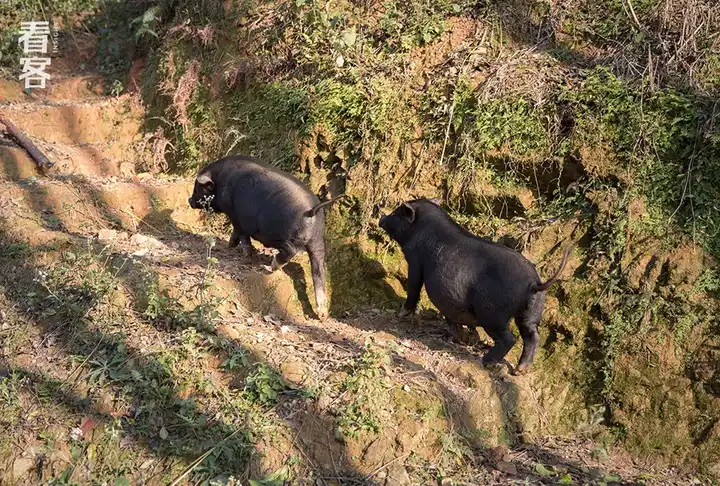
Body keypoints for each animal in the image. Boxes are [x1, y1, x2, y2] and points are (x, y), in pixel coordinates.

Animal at [188, 156, 346, 320]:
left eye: (197, 188)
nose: (189, 200)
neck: (219, 179)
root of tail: (311, 210)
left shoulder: (234, 213)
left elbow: (239, 232)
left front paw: (238, 249)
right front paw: (231, 246)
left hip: (278, 234)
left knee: (289, 251)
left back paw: (269, 267)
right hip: (318, 242)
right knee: (319, 272)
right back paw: (322, 315)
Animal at [380, 199, 572, 374]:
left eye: (397, 213)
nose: (382, 216)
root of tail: (534, 283)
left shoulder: (415, 259)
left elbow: (414, 285)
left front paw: (400, 314)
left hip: (492, 312)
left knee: (509, 338)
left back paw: (486, 362)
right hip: (532, 312)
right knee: (532, 336)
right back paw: (519, 371)